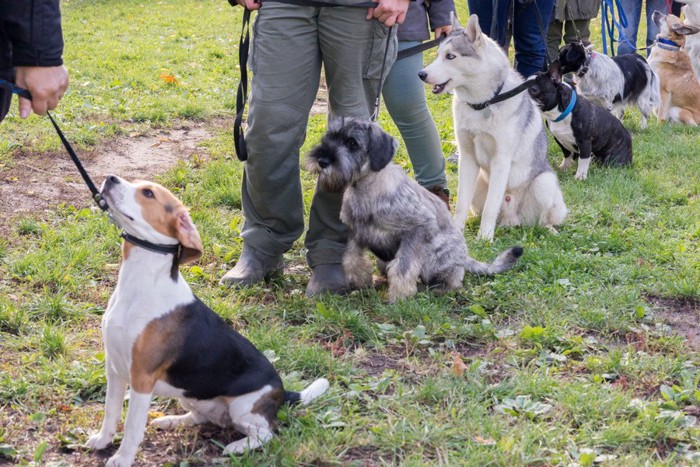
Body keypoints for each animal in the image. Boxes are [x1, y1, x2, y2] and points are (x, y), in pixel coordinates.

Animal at [87, 176, 328, 467]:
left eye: (148, 193)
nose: (110, 178)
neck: (140, 281)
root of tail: (282, 392)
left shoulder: (141, 379)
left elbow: (133, 426)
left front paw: (122, 458)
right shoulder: (114, 369)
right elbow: (110, 411)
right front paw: (103, 440)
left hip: (242, 407)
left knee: (266, 433)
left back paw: (237, 447)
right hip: (191, 396)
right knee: (200, 417)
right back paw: (170, 421)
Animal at [304, 119, 524, 304]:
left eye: (352, 143)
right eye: (329, 138)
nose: (322, 160)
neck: (366, 188)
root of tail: (464, 258)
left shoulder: (417, 229)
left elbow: (403, 267)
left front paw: (399, 297)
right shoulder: (355, 233)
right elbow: (350, 260)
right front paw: (361, 281)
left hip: (437, 260)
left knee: (453, 280)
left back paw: (440, 289)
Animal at [418, 14, 568, 241]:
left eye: (450, 56)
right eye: (437, 55)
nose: (421, 74)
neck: (482, 104)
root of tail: (512, 219)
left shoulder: (501, 160)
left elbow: (491, 206)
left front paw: (485, 237)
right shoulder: (467, 158)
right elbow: (462, 204)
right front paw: (457, 231)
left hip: (544, 183)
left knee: (542, 220)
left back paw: (548, 230)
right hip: (481, 182)